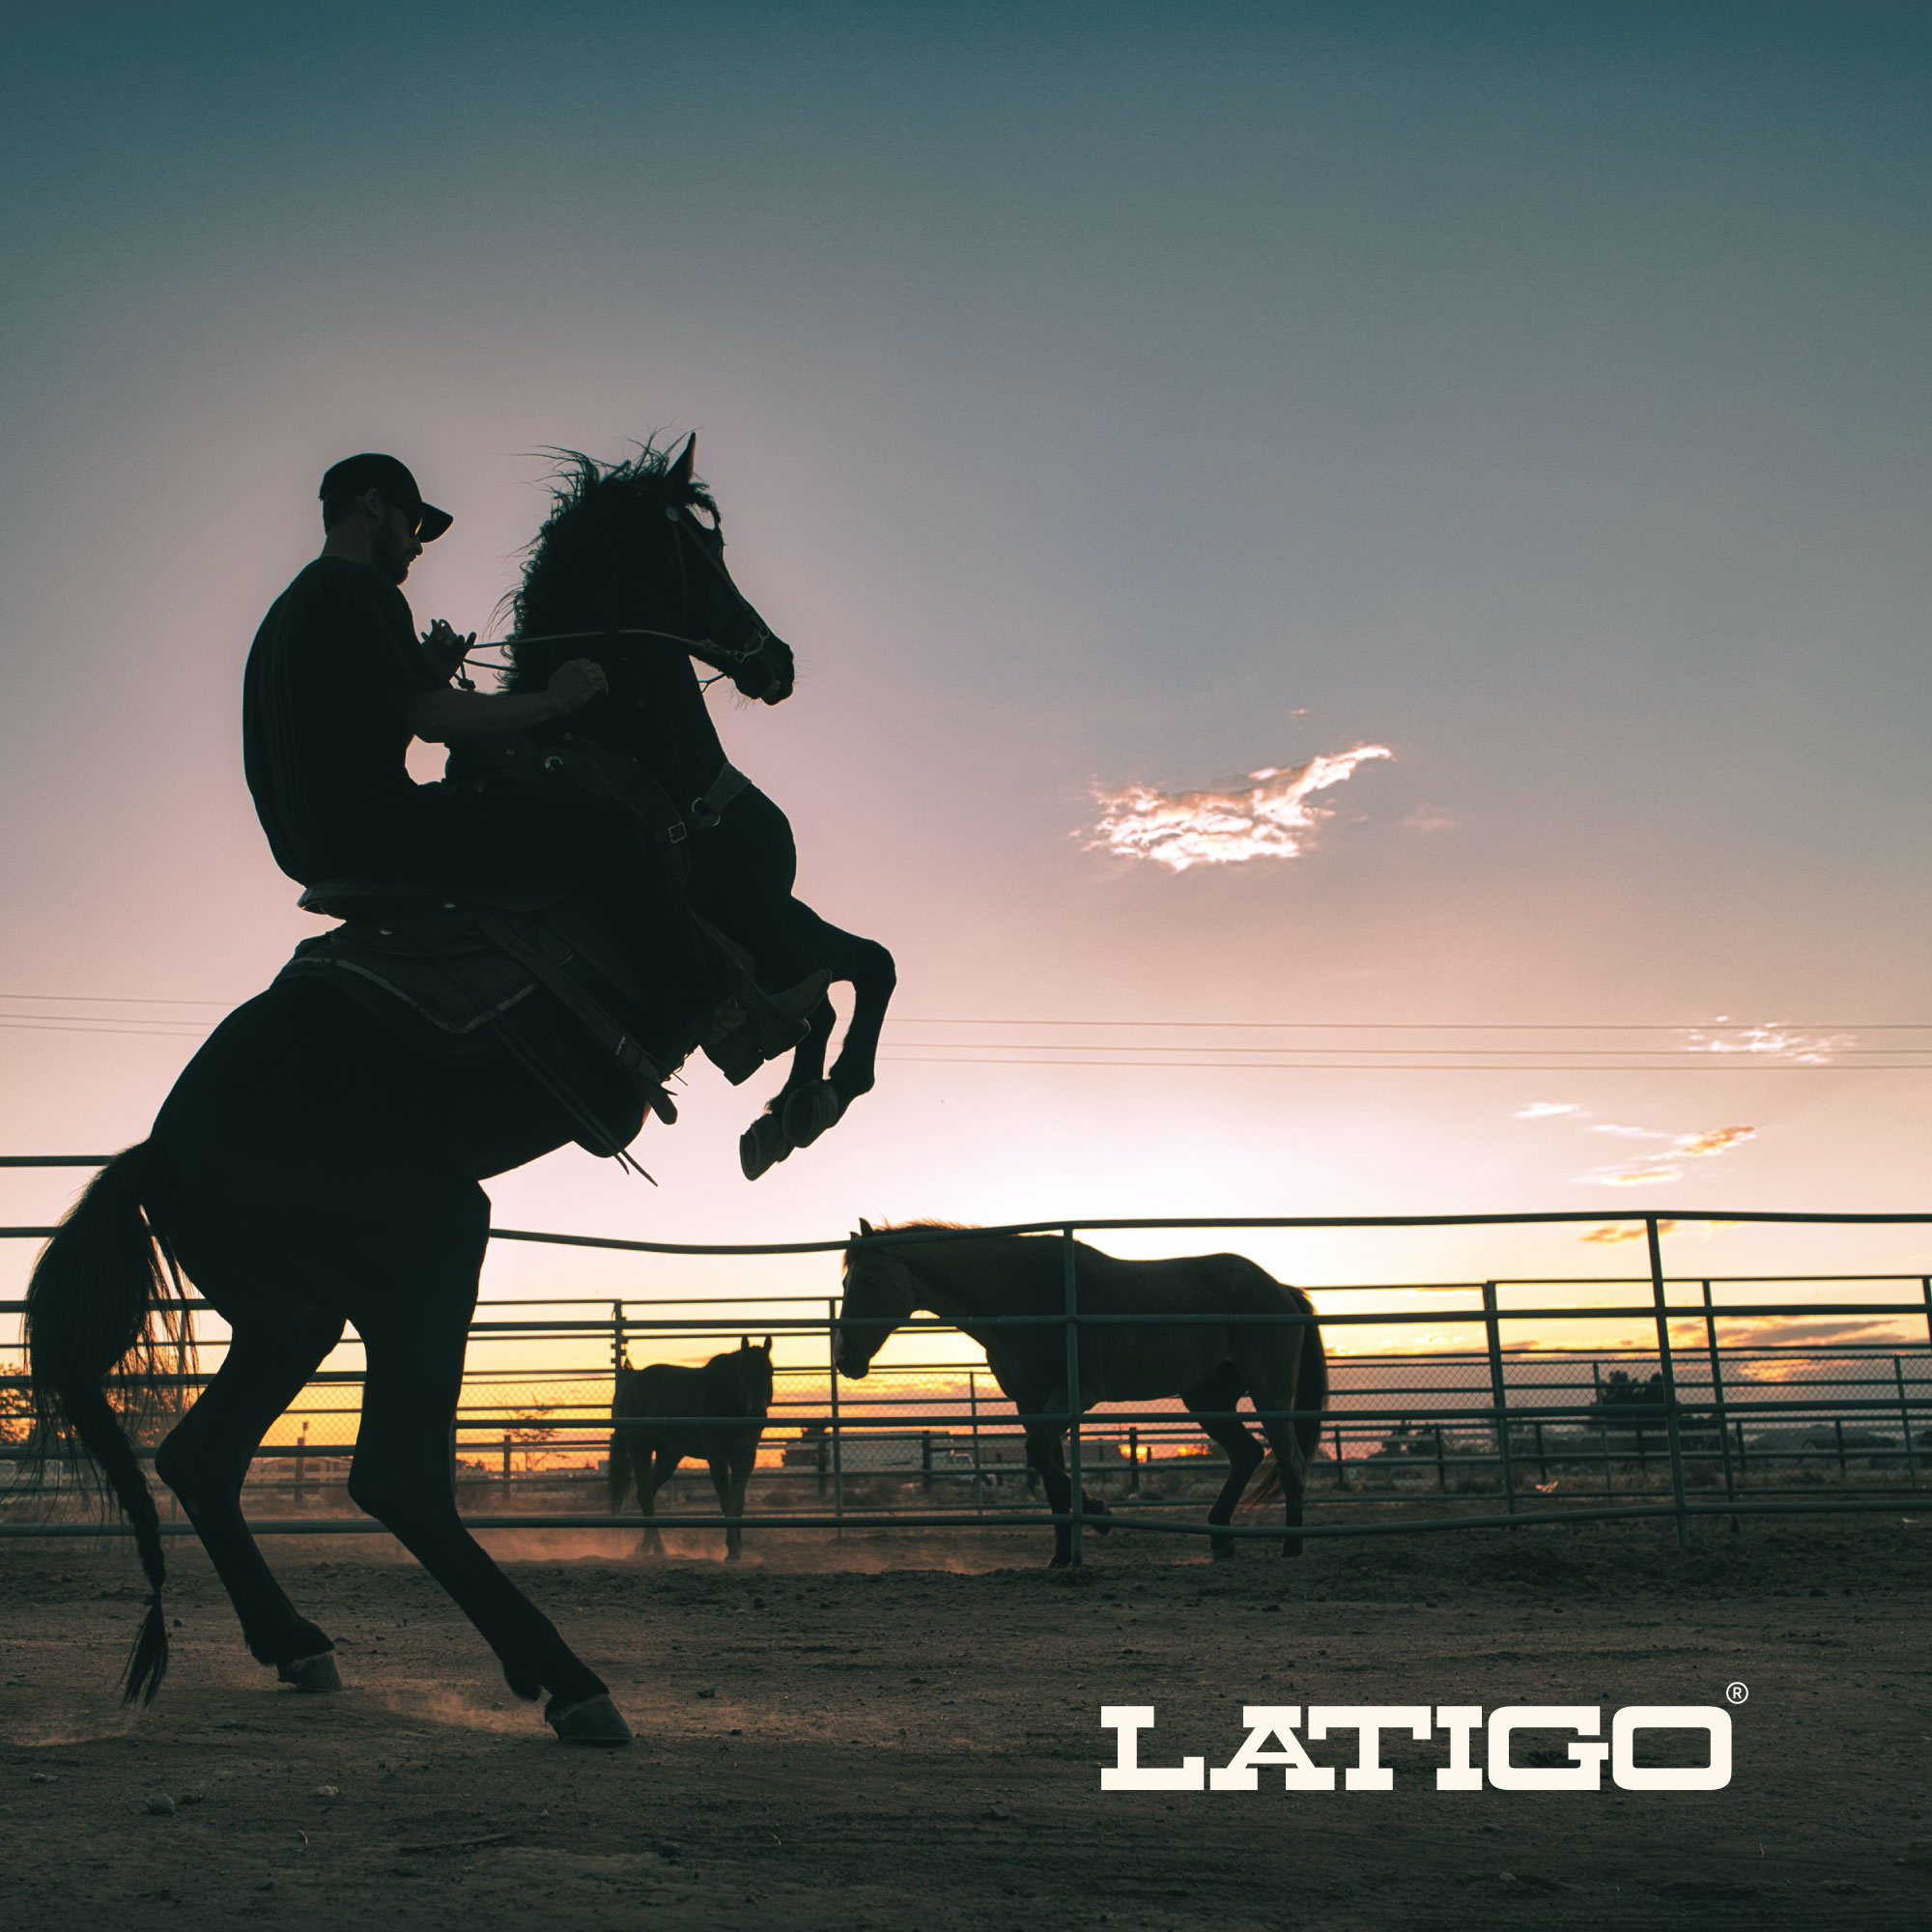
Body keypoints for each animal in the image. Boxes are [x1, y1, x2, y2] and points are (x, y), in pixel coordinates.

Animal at [477, 434, 896, 1181]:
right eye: (712, 548)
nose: (777, 660)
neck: (662, 770)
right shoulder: (760, 929)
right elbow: (823, 1002)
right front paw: (798, 1107)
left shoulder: (779, 915)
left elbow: (875, 962)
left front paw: (809, 1101)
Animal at [607, 1336, 774, 1560]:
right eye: (743, 1373)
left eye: (770, 1371)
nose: (757, 1413)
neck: (726, 1401)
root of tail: (629, 1382)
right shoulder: (717, 1457)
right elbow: (727, 1502)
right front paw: (732, 1552)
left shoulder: (746, 1457)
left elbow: (739, 1502)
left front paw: (737, 1548)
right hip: (640, 1450)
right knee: (645, 1494)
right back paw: (658, 1549)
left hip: (668, 1456)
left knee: (646, 1493)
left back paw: (646, 1547)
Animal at [833, 1221, 1329, 1565]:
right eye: (845, 1283)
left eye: (869, 1280)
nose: (844, 1358)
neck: (1022, 1293)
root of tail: (1280, 1289)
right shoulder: (1030, 1401)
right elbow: (1045, 1465)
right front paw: (1061, 1554)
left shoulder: (1073, 1393)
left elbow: (1040, 1455)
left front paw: (1097, 1511)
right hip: (1208, 1402)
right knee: (1248, 1454)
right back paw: (1221, 1539)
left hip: (1269, 1394)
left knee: (1290, 1462)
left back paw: (1291, 1550)